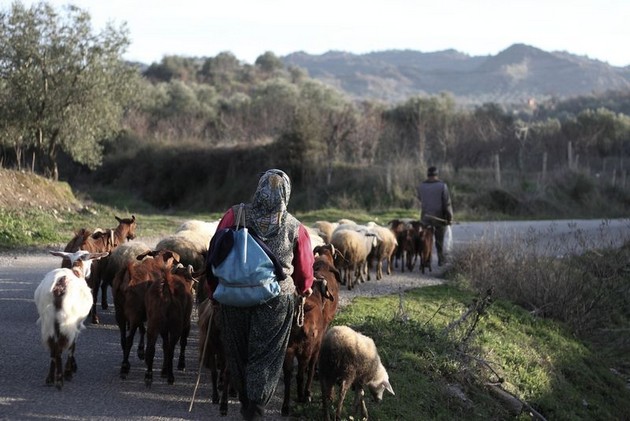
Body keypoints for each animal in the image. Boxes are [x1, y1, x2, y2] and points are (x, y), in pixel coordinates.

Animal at [35, 248, 109, 388]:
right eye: (91, 261)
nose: (89, 274)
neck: (77, 270)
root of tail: (59, 286)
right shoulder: (78, 323)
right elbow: (73, 345)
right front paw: (70, 369)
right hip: (68, 320)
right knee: (63, 346)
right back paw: (61, 379)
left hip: (48, 320)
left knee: (53, 347)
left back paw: (50, 378)